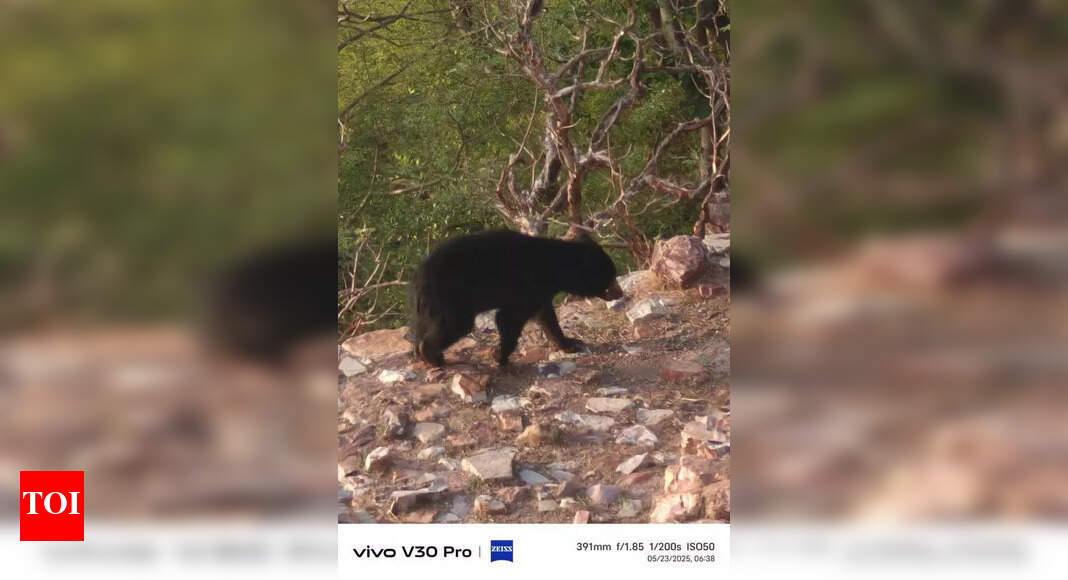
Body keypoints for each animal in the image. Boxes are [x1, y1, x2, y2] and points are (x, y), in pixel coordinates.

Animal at [411, 229, 624, 367]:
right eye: (611, 275)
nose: (620, 292)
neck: (554, 268)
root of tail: (421, 275)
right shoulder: (526, 286)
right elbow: (509, 318)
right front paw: (500, 356)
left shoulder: (540, 293)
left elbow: (547, 318)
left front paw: (570, 343)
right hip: (453, 296)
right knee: (455, 324)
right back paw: (433, 356)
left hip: (429, 305)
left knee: (423, 325)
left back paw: (419, 353)